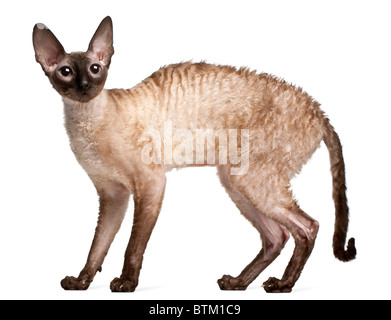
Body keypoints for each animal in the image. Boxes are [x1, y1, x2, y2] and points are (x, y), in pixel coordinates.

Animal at [32, 16, 356, 292]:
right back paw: (238, 282)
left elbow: (133, 246)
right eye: (66, 72)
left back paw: (283, 284)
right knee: (277, 236)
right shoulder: (113, 196)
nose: (85, 86)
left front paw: (127, 282)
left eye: (95, 69)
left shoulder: (151, 183)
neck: (86, 122)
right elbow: (97, 246)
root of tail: (319, 112)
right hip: (234, 179)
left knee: (308, 227)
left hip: (250, 180)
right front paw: (82, 281)